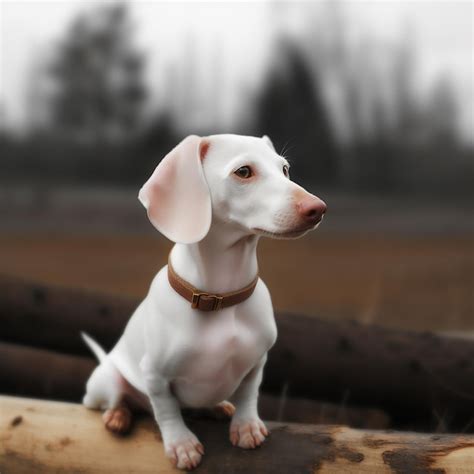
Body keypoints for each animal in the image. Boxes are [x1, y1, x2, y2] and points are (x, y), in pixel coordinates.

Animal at [82, 134, 326, 470]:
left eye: (285, 169)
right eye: (244, 171)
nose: (319, 208)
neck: (221, 299)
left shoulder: (257, 361)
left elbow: (249, 393)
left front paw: (246, 425)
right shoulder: (155, 375)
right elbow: (166, 410)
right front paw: (181, 445)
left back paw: (217, 407)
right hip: (107, 381)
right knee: (117, 400)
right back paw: (117, 416)